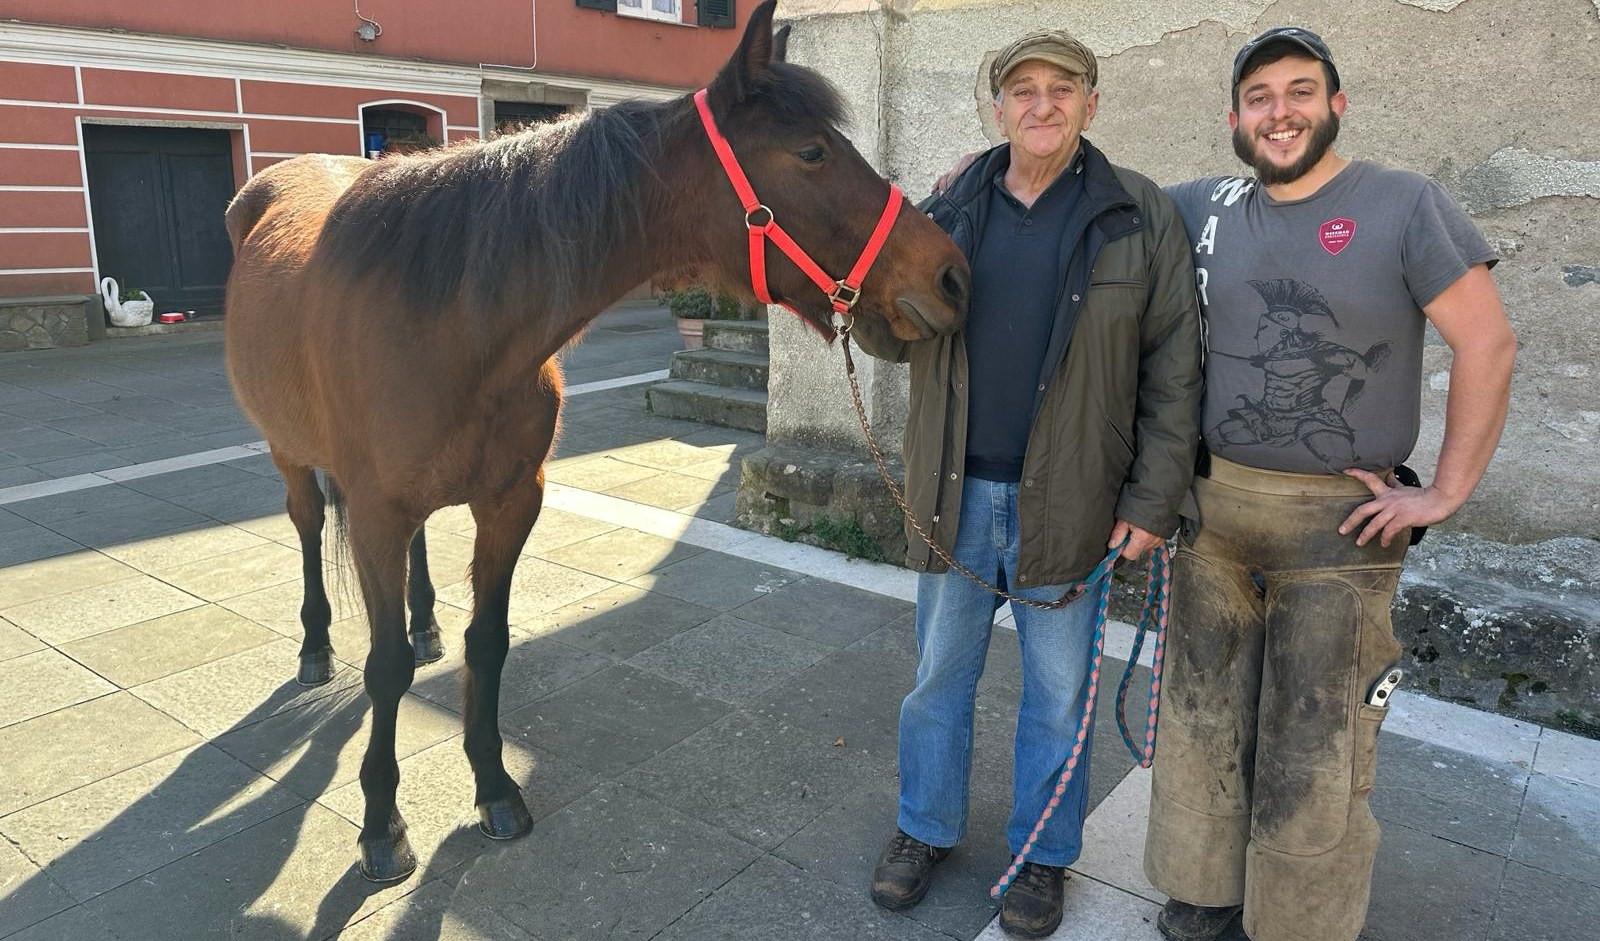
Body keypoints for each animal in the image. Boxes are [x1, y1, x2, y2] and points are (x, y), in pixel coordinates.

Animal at [220, 0, 966, 883]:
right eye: (812, 151)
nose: (951, 274)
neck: (450, 325)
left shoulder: (512, 500)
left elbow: (487, 642)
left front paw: (493, 785)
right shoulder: (373, 514)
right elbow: (386, 666)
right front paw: (380, 822)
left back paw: (424, 620)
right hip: (292, 457)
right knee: (306, 529)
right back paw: (314, 646)